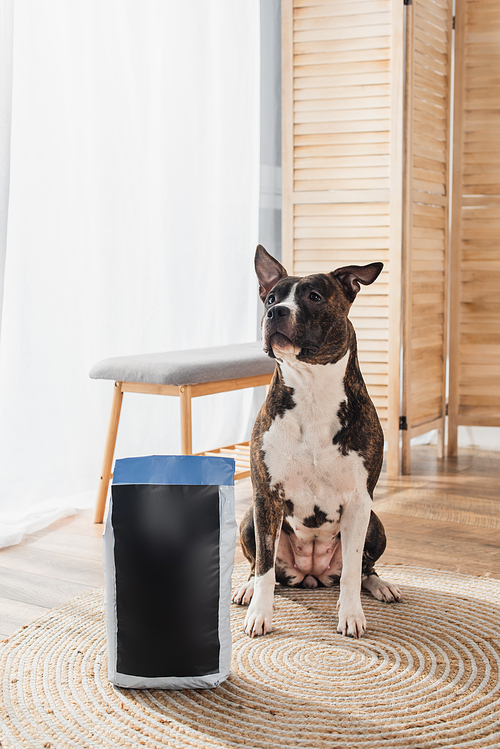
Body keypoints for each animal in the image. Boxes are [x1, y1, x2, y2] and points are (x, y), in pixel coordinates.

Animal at [233, 245, 402, 636]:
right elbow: (264, 567)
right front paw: (260, 614)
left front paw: (351, 615)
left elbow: (353, 569)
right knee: (258, 565)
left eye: (314, 296)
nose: (275, 312)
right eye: (271, 298)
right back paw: (247, 590)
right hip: (248, 519)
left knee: (365, 569)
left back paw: (381, 586)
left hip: (376, 523)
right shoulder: (266, 496)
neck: (311, 389)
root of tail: (311, 575)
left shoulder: (359, 502)